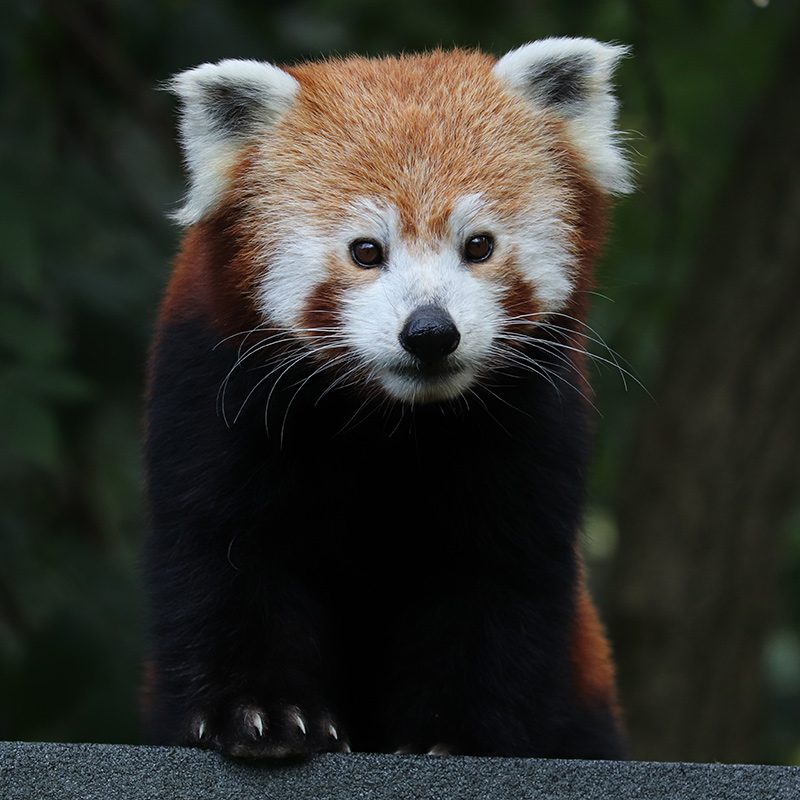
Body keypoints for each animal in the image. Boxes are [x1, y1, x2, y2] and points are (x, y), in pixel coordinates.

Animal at [144, 37, 632, 760]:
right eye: (366, 251)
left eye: (478, 245)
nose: (430, 332)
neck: (393, 423)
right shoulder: (211, 390)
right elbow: (225, 553)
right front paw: (262, 715)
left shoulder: (537, 421)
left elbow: (500, 577)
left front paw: (456, 737)